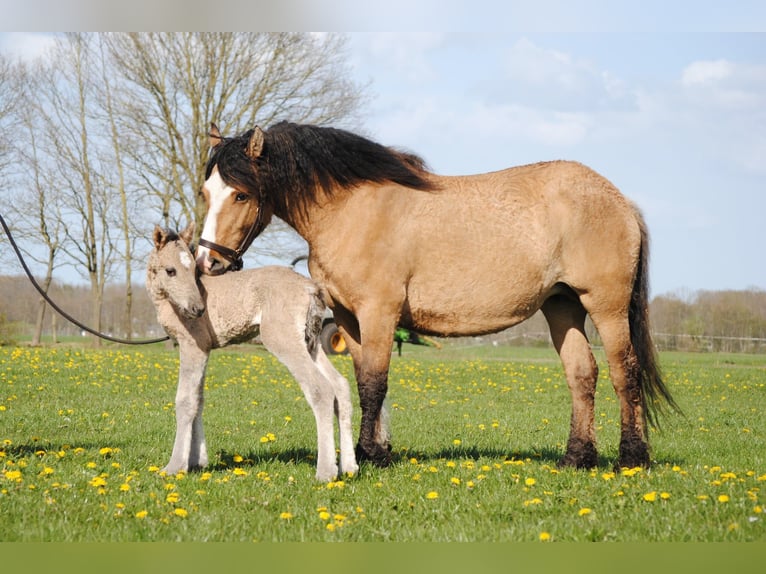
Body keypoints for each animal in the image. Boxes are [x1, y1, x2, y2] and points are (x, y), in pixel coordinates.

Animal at [146, 222, 359, 481]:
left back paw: (326, 471)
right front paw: (198, 461)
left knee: (321, 389)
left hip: (282, 339)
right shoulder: (204, 348)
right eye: (170, 270)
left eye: (193, 270)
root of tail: (312, 288)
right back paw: (349, 466)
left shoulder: (192, 345)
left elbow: (185, 401)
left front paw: (175, 466)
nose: (197, 309)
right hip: (311, 342)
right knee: (340, 385)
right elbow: (198, 399)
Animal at [194, 121, 679, 470]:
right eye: (206, 192)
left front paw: (371, 455)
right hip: (562, 306)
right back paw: (577, 458)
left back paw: (632, 458)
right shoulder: (349, 318)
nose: (208, 262)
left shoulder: (379, 312)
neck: (351, 211)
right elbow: (363, 381)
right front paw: (374, 449)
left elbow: (375, 382)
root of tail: (620, 200)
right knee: (582, 375)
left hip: (605, 306)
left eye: (241, 194)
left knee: (624, 372)